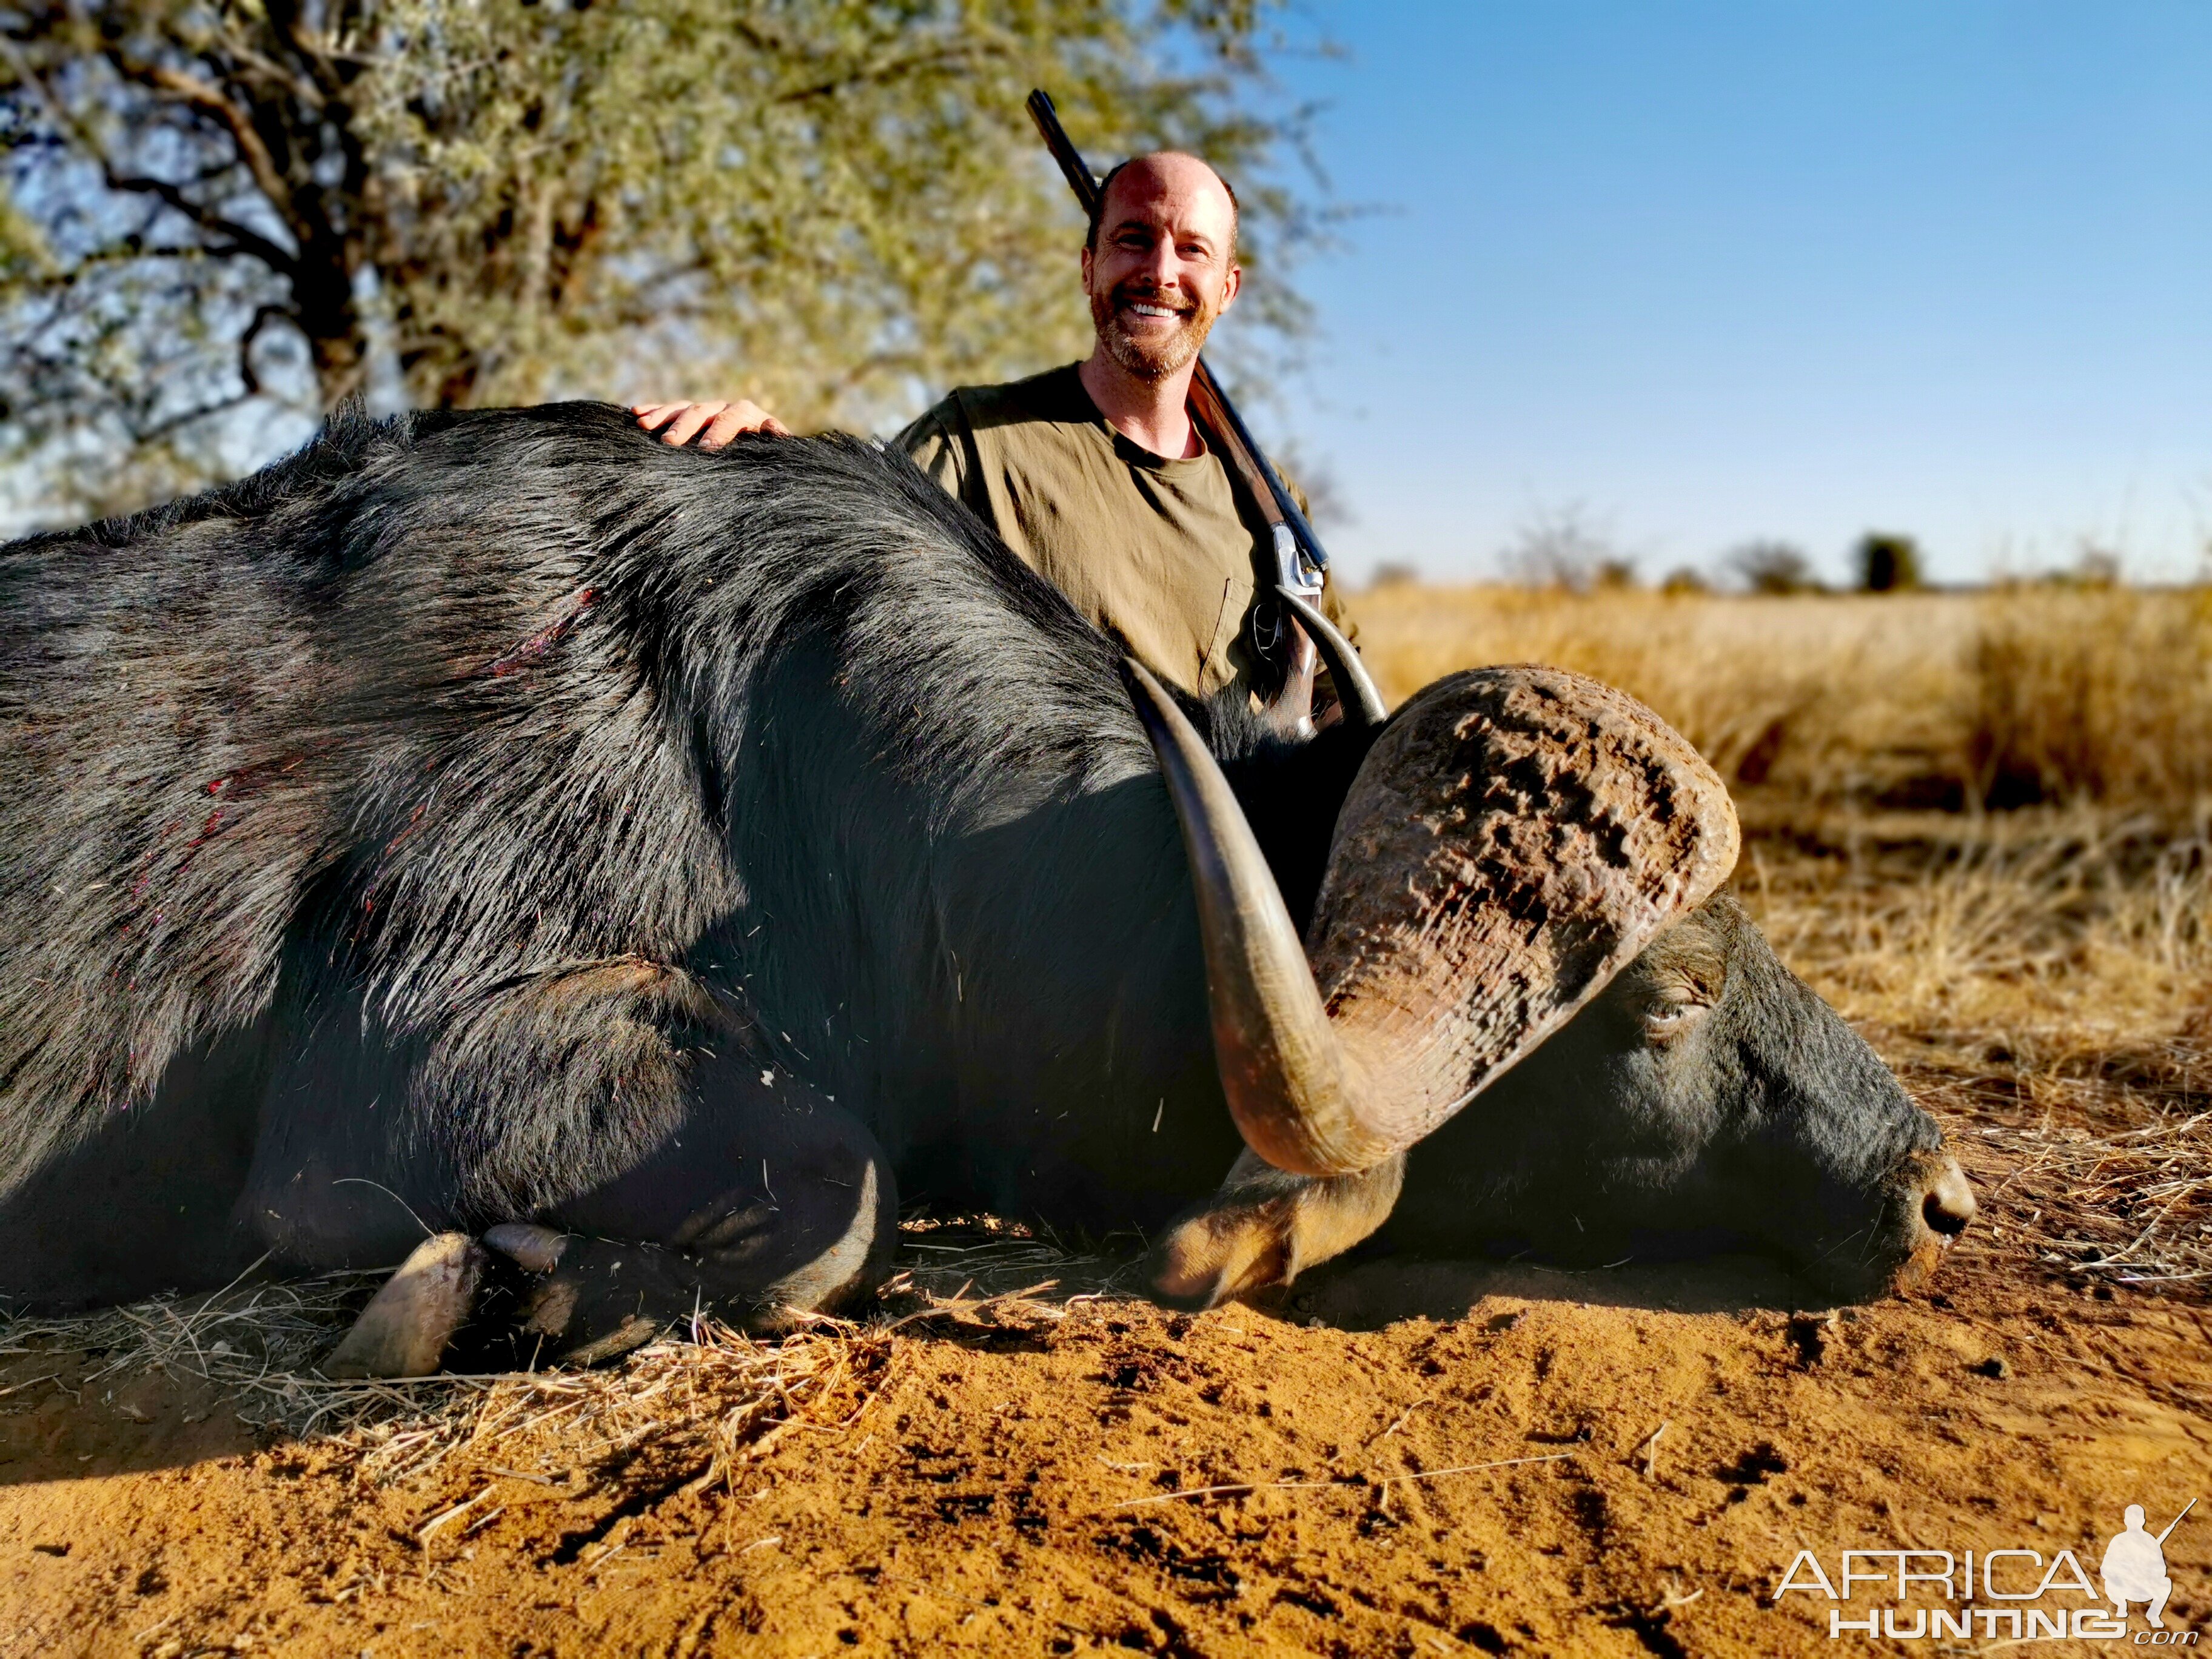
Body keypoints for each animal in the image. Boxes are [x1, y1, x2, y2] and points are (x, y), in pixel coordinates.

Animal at [0, 407, 1973, 1380]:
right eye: (1670, 996)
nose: (1939, 1194)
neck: (786, 759)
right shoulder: (396, 1077)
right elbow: (845, 1194)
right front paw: (510, 1292)